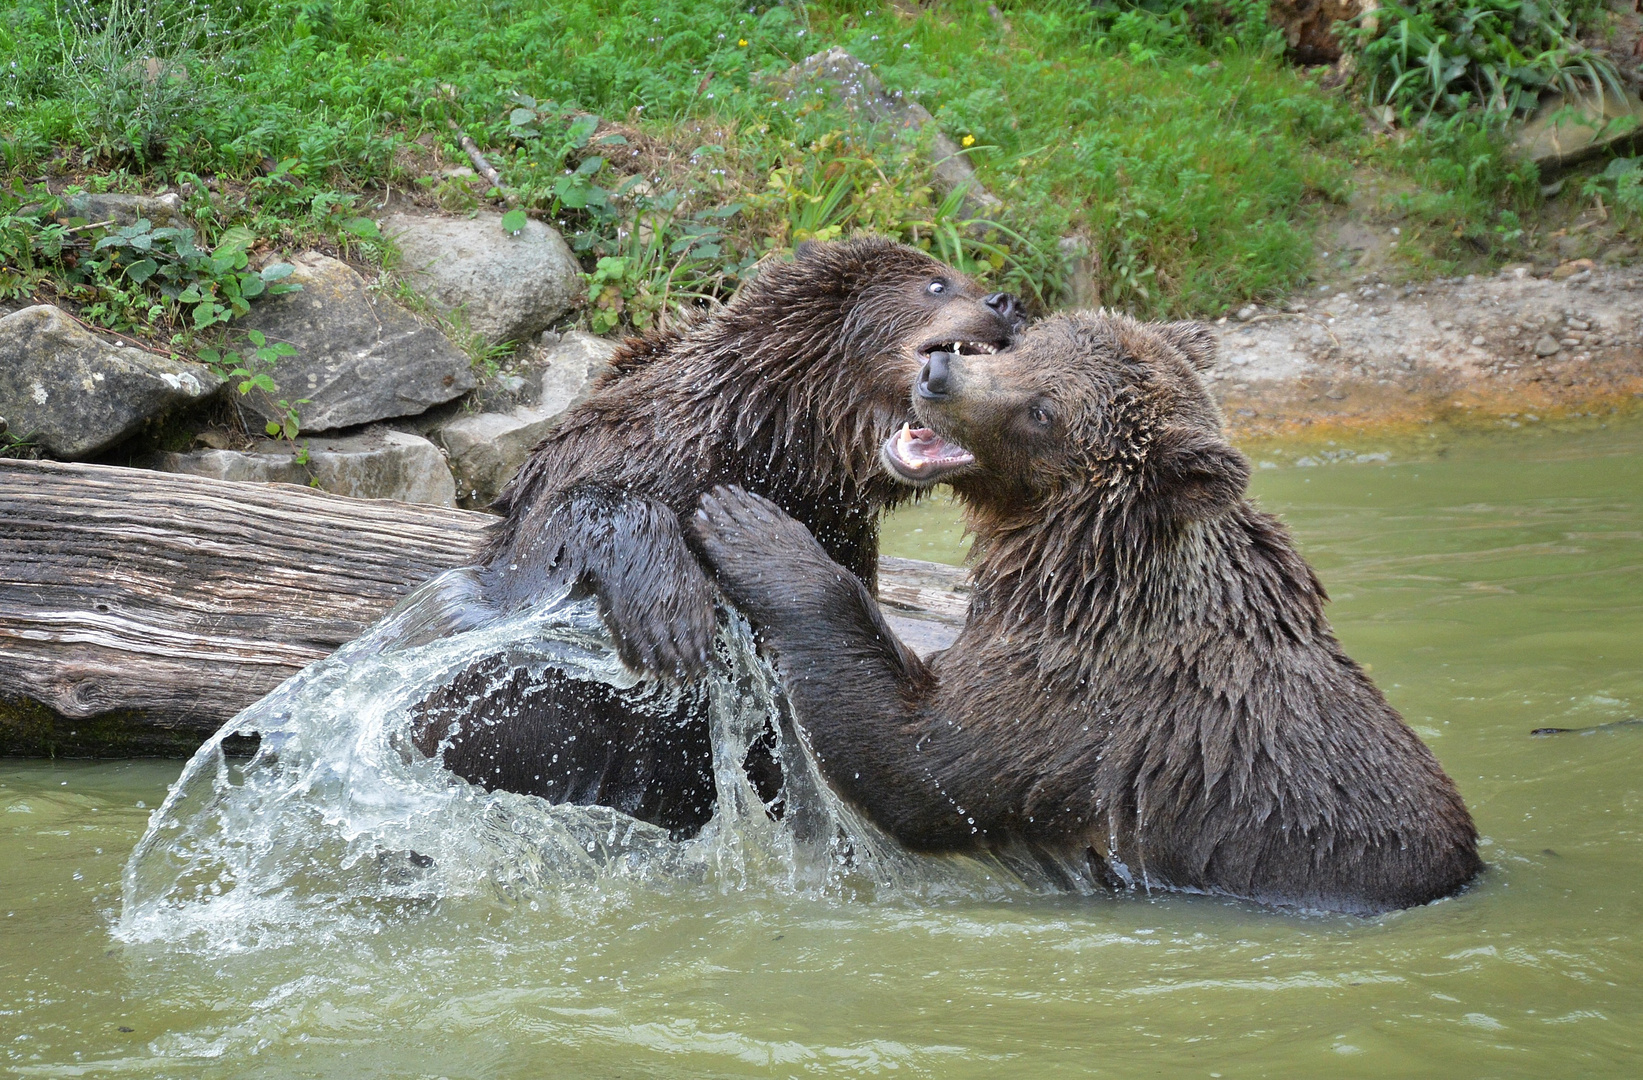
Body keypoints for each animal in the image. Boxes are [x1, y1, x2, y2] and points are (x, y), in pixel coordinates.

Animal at [686, 309, 1485, 907]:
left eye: (1043, 410)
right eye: (1023, 344)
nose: (937, 371)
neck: (1076, 576)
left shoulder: (1073, 706)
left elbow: (912, 761)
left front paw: (746, 525)